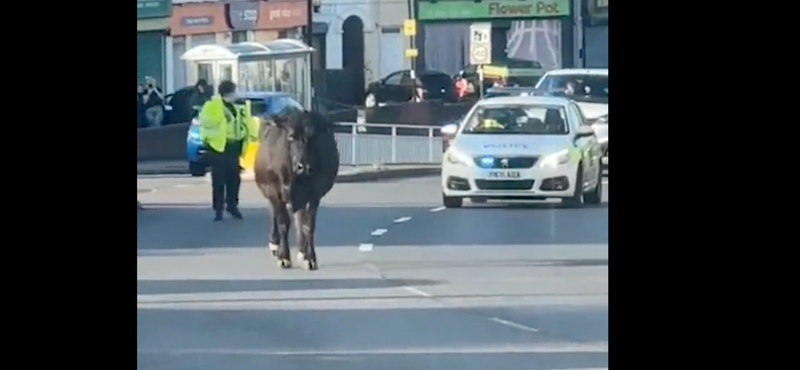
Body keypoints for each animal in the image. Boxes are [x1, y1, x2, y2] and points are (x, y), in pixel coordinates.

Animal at [255, 110, 340, 268]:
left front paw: (310, 257)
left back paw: (302, 251)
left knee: (299, 218)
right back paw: (275, 244)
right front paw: (283, 256)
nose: (304, 166)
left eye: (313, 137)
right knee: (275, 214)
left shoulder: (314, 194)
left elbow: (308, 225)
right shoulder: (274, 191)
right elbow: (283, 222)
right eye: (291, 137)